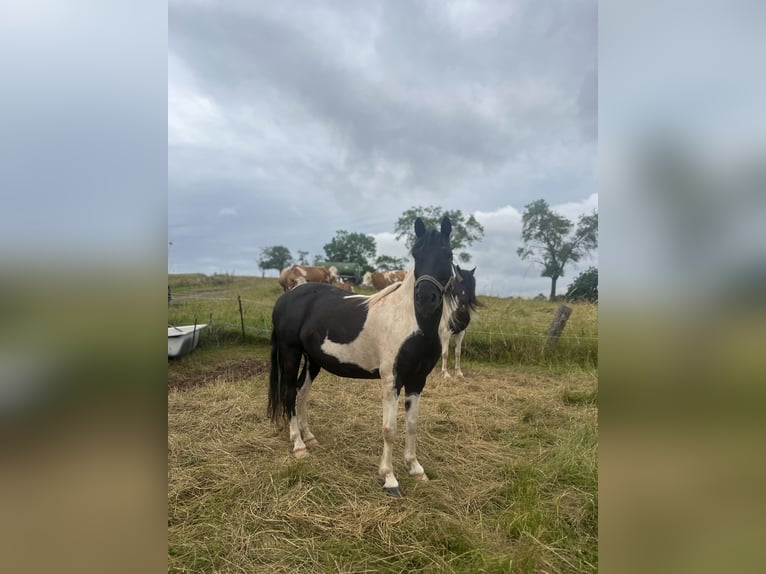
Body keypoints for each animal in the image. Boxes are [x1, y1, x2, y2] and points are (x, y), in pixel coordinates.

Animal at [268, 217, 454, 497]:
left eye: (448, 253)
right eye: (416, 254)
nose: (425, 299)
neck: (413, 323)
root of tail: (287, 297)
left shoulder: (418, 380)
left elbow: (412, 424)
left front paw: (415, 469)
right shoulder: (391, 380)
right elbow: (390, 429)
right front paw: (389, 479)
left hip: (313, 360)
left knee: (302, 392)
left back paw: (309, 437)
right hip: (291, 352)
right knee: (289, 393)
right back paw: (299, 446)